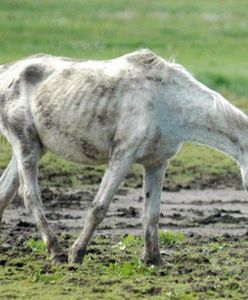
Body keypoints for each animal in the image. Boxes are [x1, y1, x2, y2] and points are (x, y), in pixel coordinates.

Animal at [0, 50, 248, 266]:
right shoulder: (123, 155)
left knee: (5, 192)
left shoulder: (157, 163)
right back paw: (57, 252)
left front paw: (154, 260)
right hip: (26, 145)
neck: (169, 101)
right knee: (29, 195)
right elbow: (99, 207)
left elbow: (152, 213)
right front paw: (76, 254)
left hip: (33, 148)